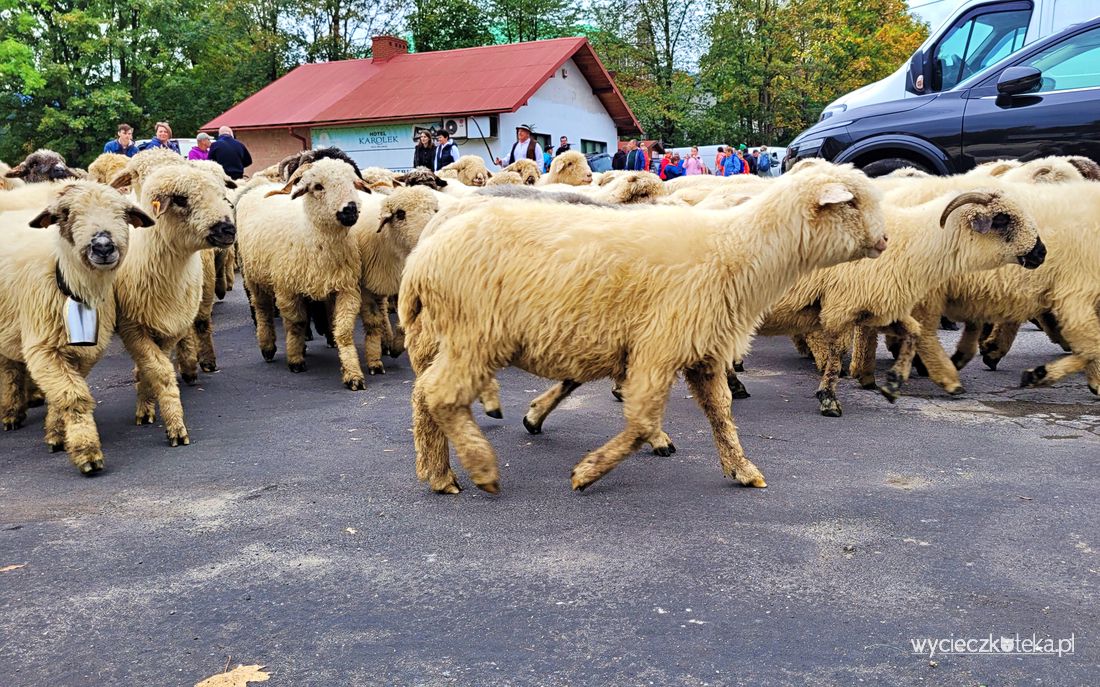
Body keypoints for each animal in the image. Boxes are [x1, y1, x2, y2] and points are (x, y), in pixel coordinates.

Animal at [0, 182, 154, 470]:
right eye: (66, 213)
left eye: (124, 213)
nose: (103, 246)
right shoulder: (43, 348)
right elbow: (74, 397)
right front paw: (87, 453)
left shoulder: (85, 351)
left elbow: (65, 393)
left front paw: (57, 433)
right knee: (8, 368)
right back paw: (11, 414)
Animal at [114, 165, 237, 444]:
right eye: (180, 200)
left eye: (221, 194)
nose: (228, 229)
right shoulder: (131, 326)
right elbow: (157, 369)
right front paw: (170, 424)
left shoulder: (170, 326)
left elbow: (155, 368)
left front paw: (151, 406)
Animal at [234, 157, 371, 389]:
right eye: (318, 186)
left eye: (353, 183)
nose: (350, 210)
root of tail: (260, 186)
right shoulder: (286, 289)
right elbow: (296, 324)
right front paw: (295, 361)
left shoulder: (347, 288)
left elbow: (343, 330)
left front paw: (353, 374)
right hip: (253, 277)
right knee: (263, 311)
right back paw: (268, 347)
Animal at [400, 160, 888, 492]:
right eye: (853, 203)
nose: (885, 240)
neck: (734, 250)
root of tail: (424, 257)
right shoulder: (658, 346)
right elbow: (641, 419)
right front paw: (588, 472)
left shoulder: (701, 350)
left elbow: (720, 413)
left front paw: (742, 468)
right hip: (472, 334)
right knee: (438, 394)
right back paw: (472, 469)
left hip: (448, 337)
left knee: (424, 395)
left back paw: (438, 469)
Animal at [734, 184, 1042, 415]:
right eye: (1002, 219)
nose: (1042, 253)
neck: (913, 242)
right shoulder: (840, 306)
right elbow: (836, 356)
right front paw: (829, 400)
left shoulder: (878, 304)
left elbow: (914, 333)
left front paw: (893, 384)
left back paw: (737, 387)